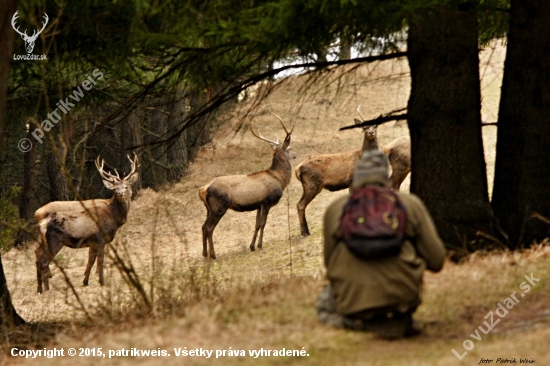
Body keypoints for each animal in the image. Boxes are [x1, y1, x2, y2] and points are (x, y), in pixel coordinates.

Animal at [35, 154, 139, 292]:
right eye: (115, 188)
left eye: (126, 186)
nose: (120, 193)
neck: (113, 217)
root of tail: (41, 223)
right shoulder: (101, 238)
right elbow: (100, 261)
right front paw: (102, 282)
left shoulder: (93, 242)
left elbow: (91, 261)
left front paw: (85, 281)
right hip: (54, 240)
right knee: (43, 261)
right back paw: (46, 289)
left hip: (45, 242)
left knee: (38, 258)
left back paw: (40, 289)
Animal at [201, 113, 298, 258]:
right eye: (290, 148)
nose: (295, 154)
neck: (279, 179)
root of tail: (203, 190)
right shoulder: (267, 201)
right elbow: (263, 224)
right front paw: (260, 245)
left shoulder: (258, 204)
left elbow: (256, 225)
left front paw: (252, 246)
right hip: (219, 206)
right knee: (209, 227)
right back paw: (213, 255)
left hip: (209, 209)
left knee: (203, 227)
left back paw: (205, 254)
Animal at [298, 106, 380, 237]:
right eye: (364, 127)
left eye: (375, 125)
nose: (370, 132)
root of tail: (297, 168)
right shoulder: (352, 181)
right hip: (311, 185)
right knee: (300, 205)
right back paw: (305, 232)